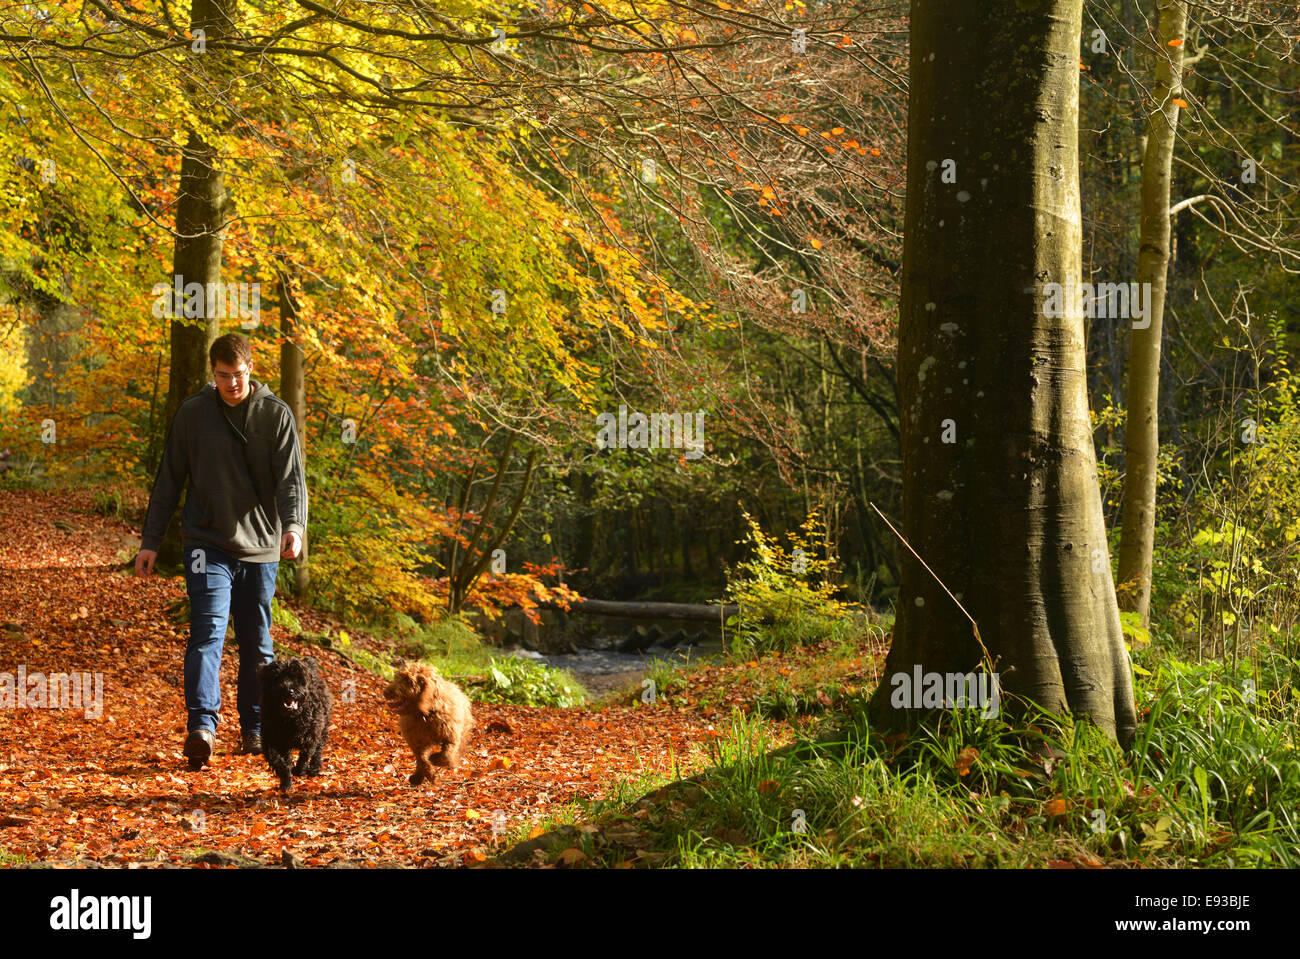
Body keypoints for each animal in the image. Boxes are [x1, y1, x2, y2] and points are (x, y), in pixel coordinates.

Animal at [256, 657, 332, 790]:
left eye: (297, 678)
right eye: (277, 678)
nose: (288, 691)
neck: (289, 719)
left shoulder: (311, 735)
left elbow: (305, 755)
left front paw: (299, 771)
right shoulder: (272, 740)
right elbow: (278, 761)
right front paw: (286, 782)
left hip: (322, 728)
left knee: (318, 749)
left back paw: (314, 768)